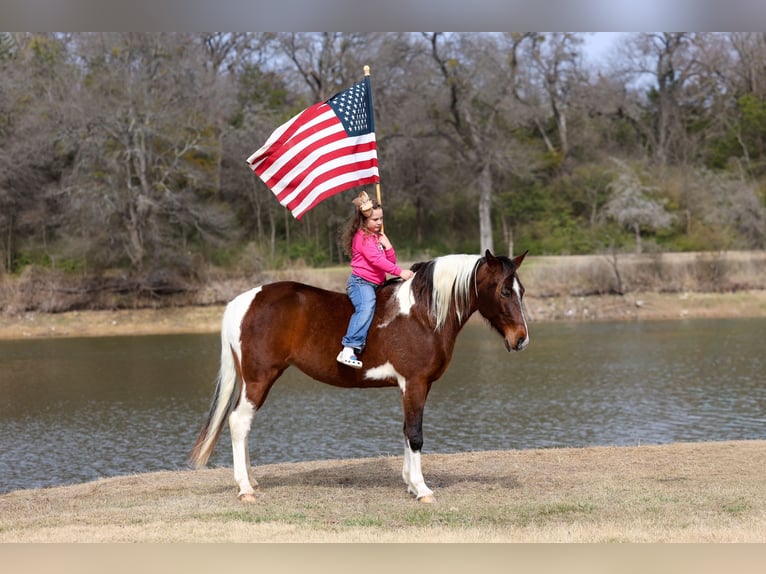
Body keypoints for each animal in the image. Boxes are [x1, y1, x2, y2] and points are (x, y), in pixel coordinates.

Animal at [190, 249, 529, 503]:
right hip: (260, 378)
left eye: (521, 291)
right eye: (504, 291)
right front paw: (422, 489)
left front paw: (410, 483)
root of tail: (242, 302)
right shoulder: (415, 383)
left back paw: (251, 480)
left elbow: (406, 430)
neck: (423, 313)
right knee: (239, 422)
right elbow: (415, 434)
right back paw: (245, 488)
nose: (521, 340)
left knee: (242, 424)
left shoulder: (412, 387)